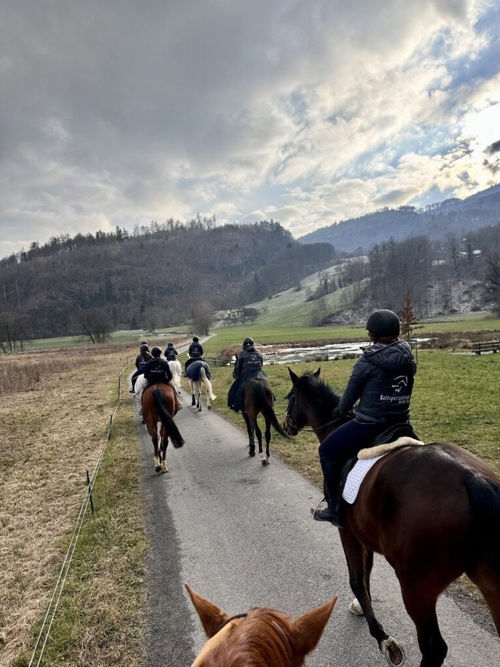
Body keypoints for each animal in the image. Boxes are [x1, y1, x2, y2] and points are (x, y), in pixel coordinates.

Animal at [284, 368, 500, 664]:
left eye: (290, 397)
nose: (286, 425)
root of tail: (473, 479)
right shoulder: (365, 536)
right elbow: (366, 577)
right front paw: (363, 610)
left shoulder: (347, 532)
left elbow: (356, 580)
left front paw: (382, 638)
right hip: (489, 582)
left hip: (417, 586)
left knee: (433, 646)